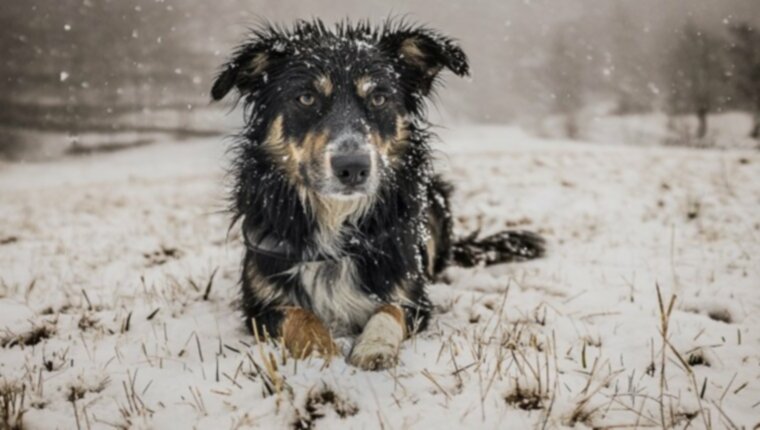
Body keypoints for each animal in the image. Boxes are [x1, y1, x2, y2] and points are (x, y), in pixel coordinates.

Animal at [211, 19, 544, 370]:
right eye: (306, 98)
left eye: (379, 98)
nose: (353, 167)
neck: (337, 218)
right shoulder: (259, 306)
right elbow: (300, 316)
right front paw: (320, 351)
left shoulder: (413, 297)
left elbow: (389, 310)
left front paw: (374, 347)